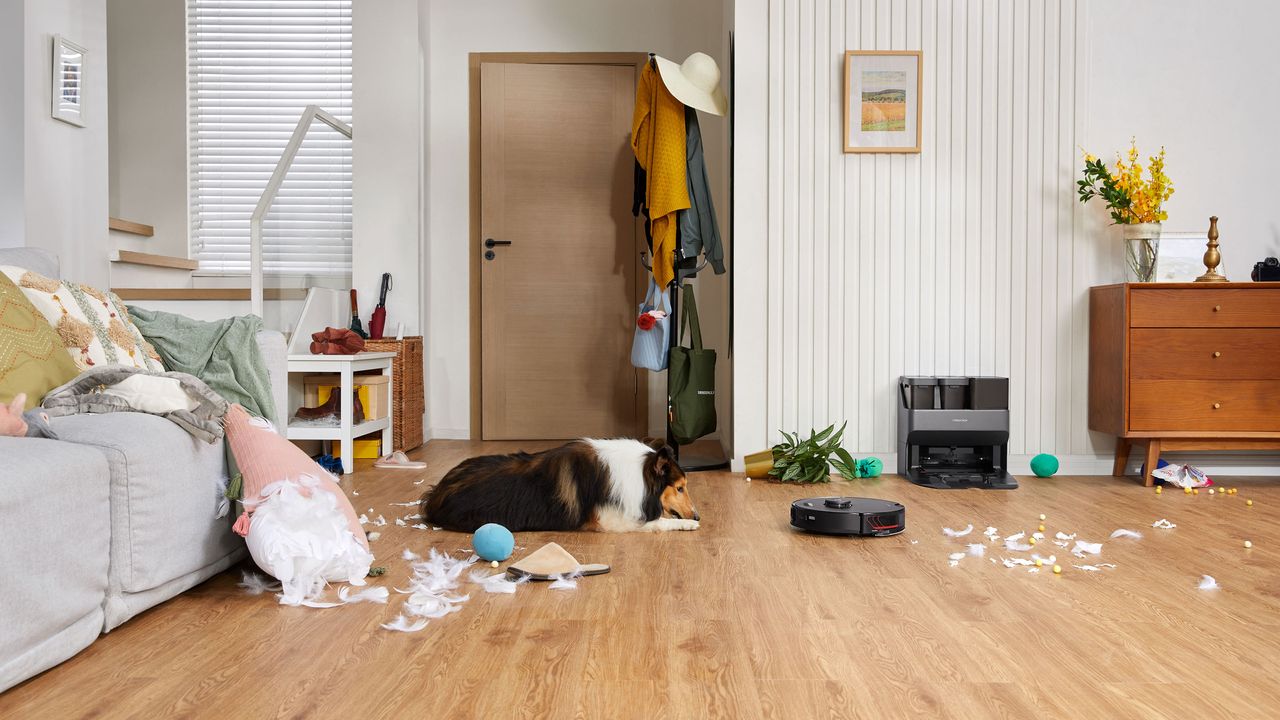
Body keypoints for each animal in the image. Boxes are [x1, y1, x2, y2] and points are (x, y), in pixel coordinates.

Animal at [419, 435, 701, 530]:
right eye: (679, 488)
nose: (697, 515)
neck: (638, 473)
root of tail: (435, 493)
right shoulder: (610, 520)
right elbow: (658, 522)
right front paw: (688, 525)